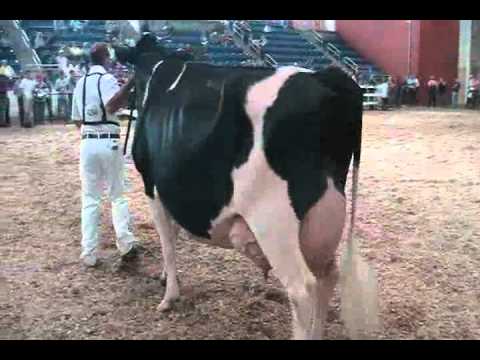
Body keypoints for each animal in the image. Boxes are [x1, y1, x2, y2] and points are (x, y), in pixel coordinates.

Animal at [116, 32, 378, 338]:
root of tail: (328, 77)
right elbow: (174, 235)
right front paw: (165, 278)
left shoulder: (153, 187)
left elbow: (167, 241)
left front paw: (169, 296)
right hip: (324, 217)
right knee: (328, 277)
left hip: (274, 221)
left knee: (302, 290)